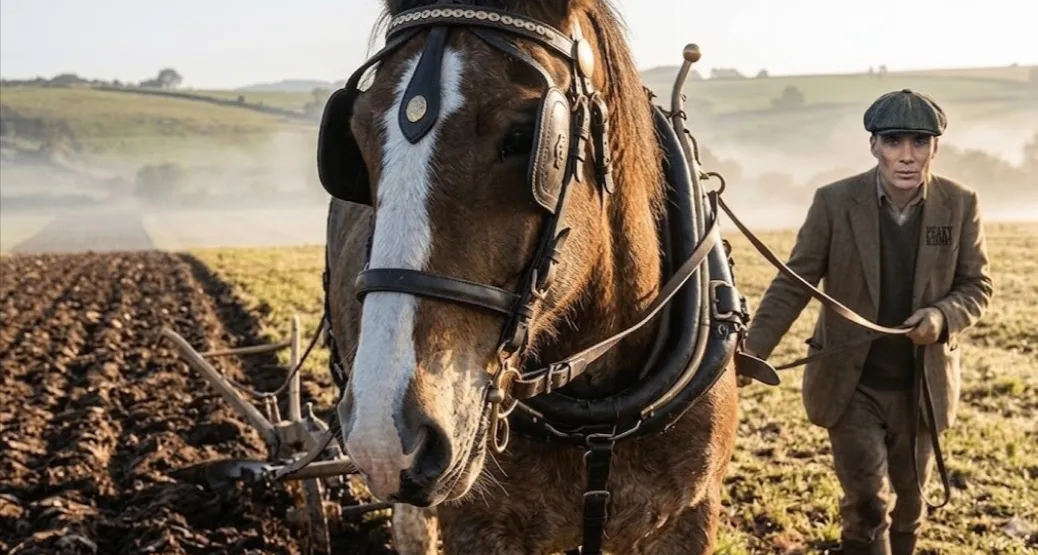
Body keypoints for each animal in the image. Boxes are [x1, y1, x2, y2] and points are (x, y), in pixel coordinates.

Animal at [315, 1, 751, 553]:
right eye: (355, 135)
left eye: (524, 137)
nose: (385, 434)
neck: (599, 411)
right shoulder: (478, 526)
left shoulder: (688, 516)